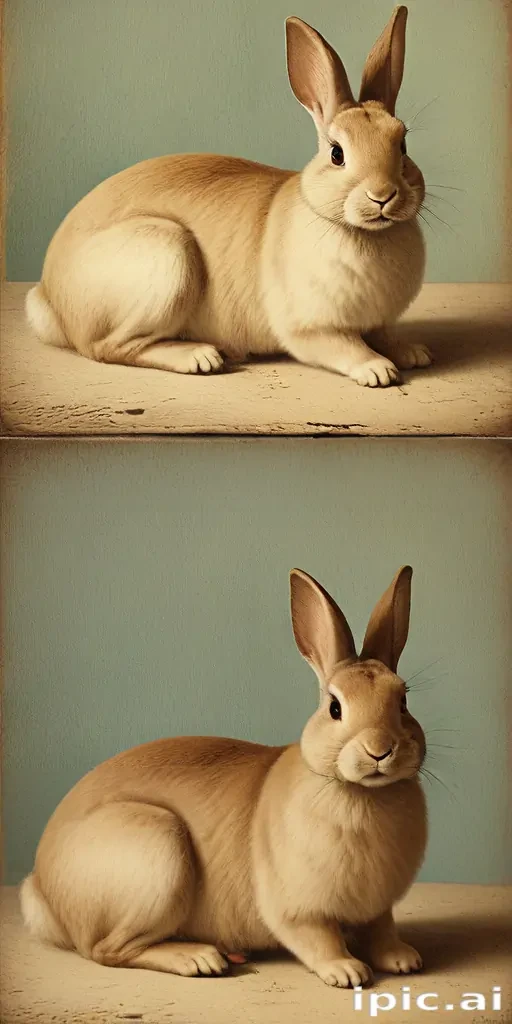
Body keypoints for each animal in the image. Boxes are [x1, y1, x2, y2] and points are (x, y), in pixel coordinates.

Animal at [21, 565, 427, 989]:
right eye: (335, 708)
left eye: (403, 701)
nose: (380, 750)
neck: (359, 791)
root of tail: (43, 890)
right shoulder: (297, 911)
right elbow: (319, 939)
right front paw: (346, 971)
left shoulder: (377, 908)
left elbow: (381, 931)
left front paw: (403, 959)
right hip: (156, 855)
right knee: (105, 950)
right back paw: (199, 959)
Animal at [25, 6, 431, 389]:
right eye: (336, 154)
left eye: (403, 145)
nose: (383, 195)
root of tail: (51, 298)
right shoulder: (310, 329)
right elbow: (345, 346)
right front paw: (378, 369)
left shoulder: (378, 322)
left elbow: (384, 336)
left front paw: (414, 353)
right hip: (166, 257)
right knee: (107, 348)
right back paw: (201, 357)